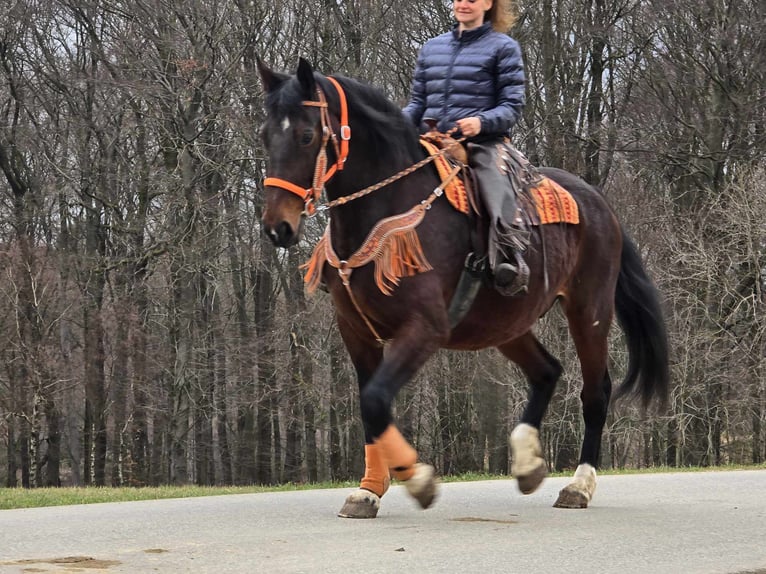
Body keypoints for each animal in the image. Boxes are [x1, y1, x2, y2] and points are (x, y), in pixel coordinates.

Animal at [258, 59, 672, 520]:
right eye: (265, 135)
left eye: (306, 135)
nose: (277, 226)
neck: (389, 207)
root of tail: (599, 202)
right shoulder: (356, 331)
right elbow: (370, 407)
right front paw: (367, 491)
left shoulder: (425, 327)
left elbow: (376, 399)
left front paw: (418, 479)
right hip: (505, 324)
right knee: (546, 371)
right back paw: (527, 464)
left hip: (589, 309)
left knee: (594, 391)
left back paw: (578, 486)